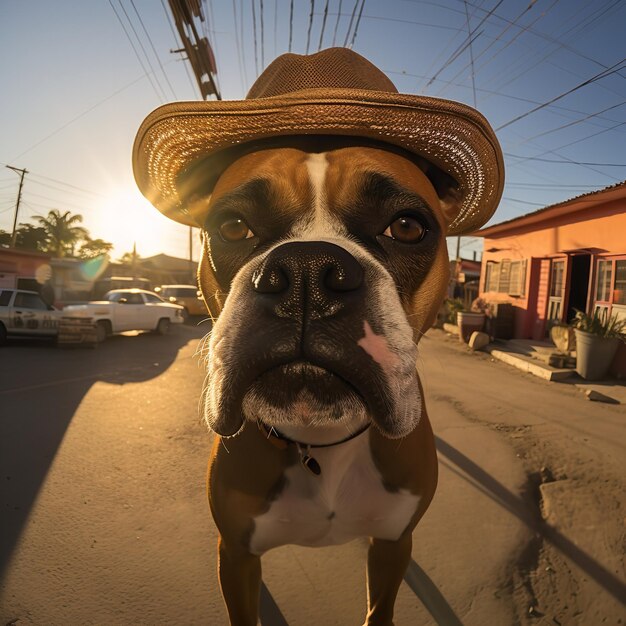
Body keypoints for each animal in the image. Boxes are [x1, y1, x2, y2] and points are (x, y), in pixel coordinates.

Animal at [133, 47, 502, 624]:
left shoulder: (393, 545)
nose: (306, 271)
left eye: (407, 226)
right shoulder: (236, 553)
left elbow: (380, 605)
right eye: (232, 226)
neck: (323, 444)